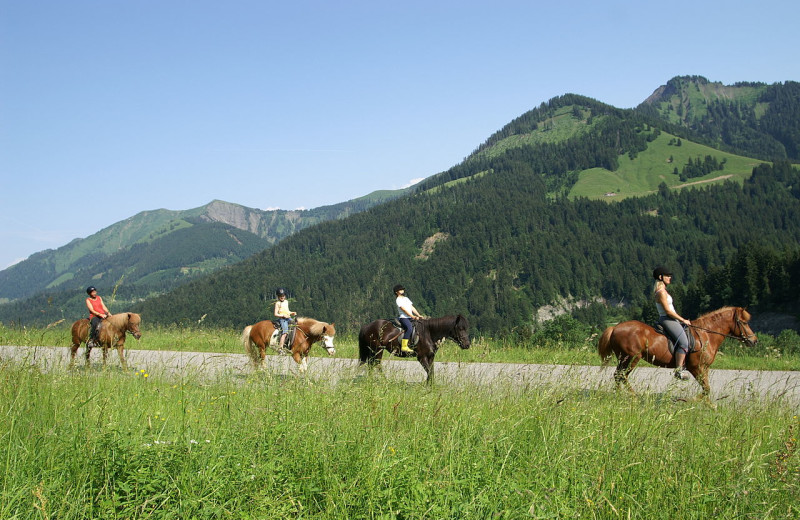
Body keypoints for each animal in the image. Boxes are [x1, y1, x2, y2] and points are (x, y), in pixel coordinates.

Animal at [596, 306, 760, 400]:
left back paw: (619, 395)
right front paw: (691, 402)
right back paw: (633, 396)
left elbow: (707, 389)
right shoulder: (695, 367)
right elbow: (706, 389)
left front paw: (710, 406)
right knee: (622, 376)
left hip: (624, 359)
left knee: (618, 375)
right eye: (744, 322)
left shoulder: (704, 368)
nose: (754, 341)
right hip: (631, 358)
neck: (706, 335)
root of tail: (615, 327)